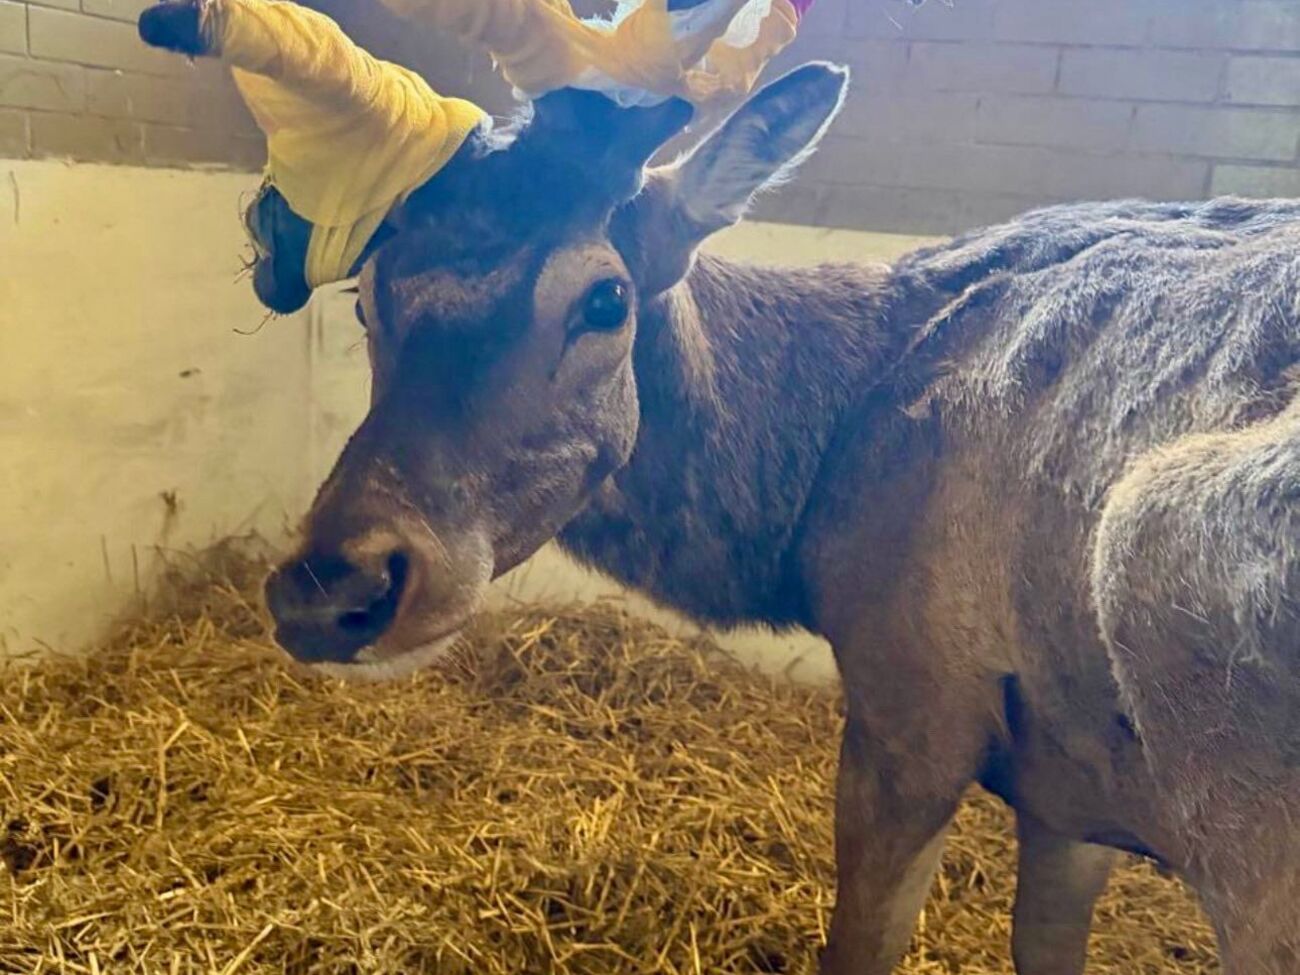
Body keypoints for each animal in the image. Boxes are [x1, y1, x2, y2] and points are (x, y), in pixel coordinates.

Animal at [231, 55, 1300, 974]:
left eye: (605, 297)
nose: (333, 587)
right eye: (368, 298)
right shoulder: (1071, 793)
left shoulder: (913, 705)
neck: (806, 505)